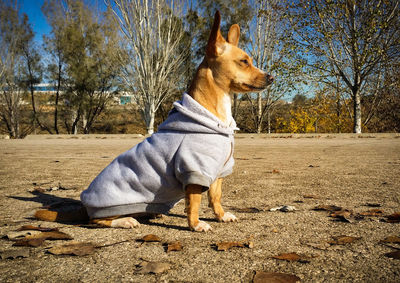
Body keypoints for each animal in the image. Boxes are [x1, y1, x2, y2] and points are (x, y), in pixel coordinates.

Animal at [34, 11, 274, 233]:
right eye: (244, 62)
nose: (271, 77)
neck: (216, 115)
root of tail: (84, 206)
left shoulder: (217, 171)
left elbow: (215, 197)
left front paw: (221, 216)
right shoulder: (193, 170)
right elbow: (195, 202)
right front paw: (196, 224)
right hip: (109, 206)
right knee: (96, 221)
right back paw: (125, 220)